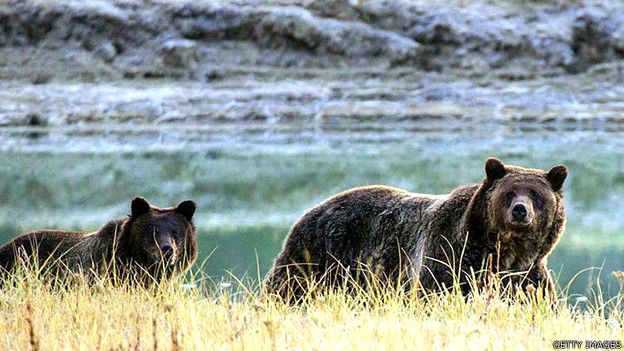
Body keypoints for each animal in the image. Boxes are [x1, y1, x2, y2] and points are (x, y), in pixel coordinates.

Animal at [266, 158, 568, 302]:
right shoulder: (449, 259)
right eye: (509, 192)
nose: (520, 210)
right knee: (288, 288)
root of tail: (310, 210)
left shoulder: (526, 276)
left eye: (536, 195)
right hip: (318, 255)